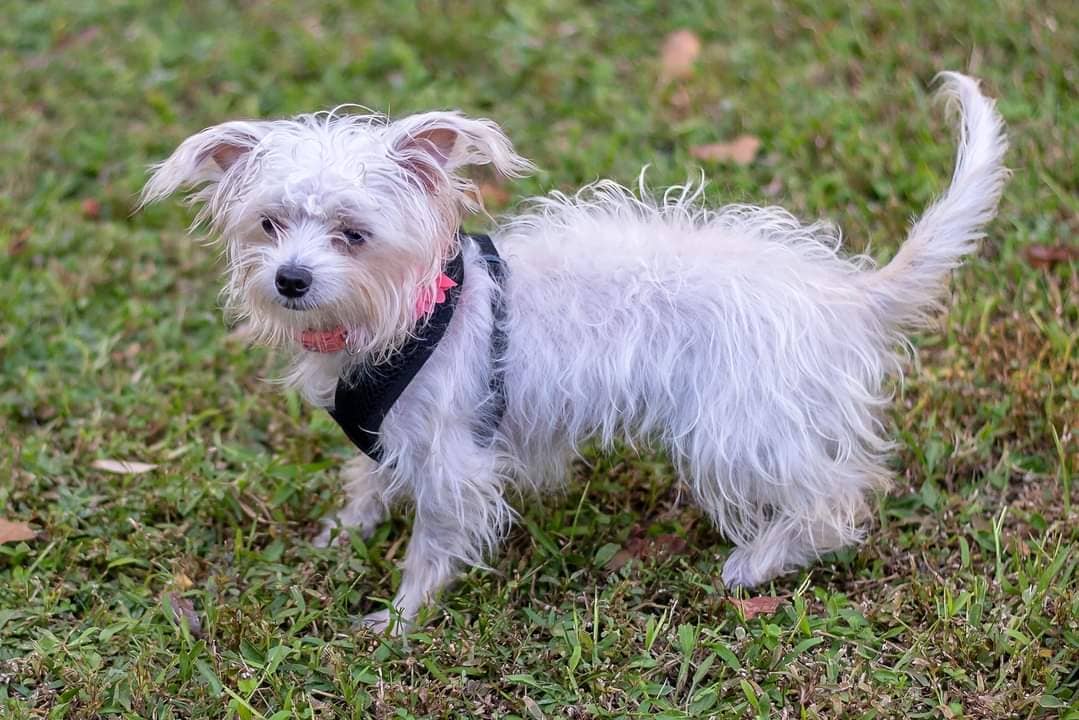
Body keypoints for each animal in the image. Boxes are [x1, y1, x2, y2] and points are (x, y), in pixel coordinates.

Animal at [139, 69, 1005, 630]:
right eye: (270, 224)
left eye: (352, 234)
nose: (289, 279)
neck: (412, 311)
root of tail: (841, 295)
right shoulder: (390, 435)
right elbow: (367, 484)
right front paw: (341, 536)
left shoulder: (451, 457)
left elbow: (433, 541)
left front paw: (398, 619)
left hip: (738, 427)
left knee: (833, 500)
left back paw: (758, 562)